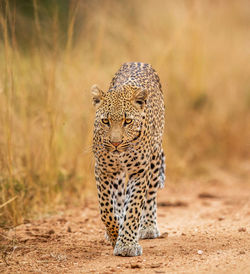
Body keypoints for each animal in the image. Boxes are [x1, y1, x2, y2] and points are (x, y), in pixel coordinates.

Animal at [91, 62, 165, 256]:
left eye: (128, 121)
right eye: (105, 121)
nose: (116, 143)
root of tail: (137, 62)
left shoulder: (139, 171)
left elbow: (133, 207)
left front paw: (126, 244)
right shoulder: (103, 169)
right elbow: (106, 209)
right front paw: (115, 234)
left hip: (154, 158)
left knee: (150, 195)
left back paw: (148, 227)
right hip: (117, 174)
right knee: (118, 198)